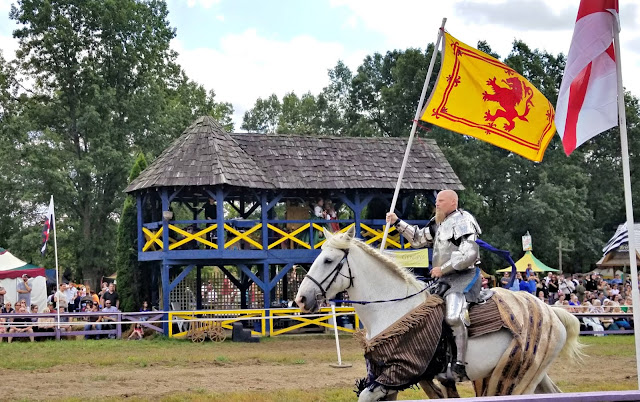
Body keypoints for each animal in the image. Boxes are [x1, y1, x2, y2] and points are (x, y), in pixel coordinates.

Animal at [296, 228, 584, 400]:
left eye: (328, 261)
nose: (301, 298)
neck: (392, 308)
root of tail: (551, 310)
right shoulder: (392, 378)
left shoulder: (397, 372)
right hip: (531, 371)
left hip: (515, 376)